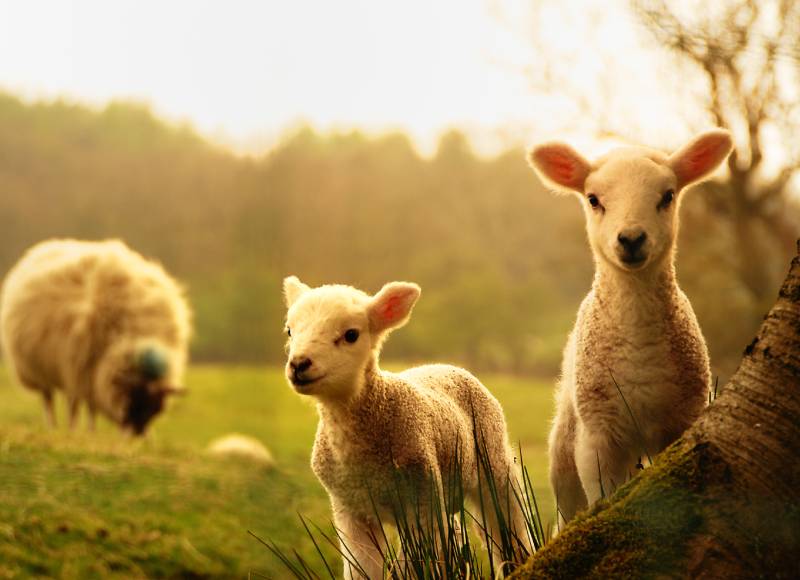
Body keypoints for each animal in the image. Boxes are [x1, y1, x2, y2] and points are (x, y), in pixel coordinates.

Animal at [0, 239, 191, 435]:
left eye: (155, 408)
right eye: (134, 397)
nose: (136, 435)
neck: (136, 334)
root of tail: (44, 247)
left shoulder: (91, 375)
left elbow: (92, 407)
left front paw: (91, 432)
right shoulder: (79, 369)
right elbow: (82, 407)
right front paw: (80, 431)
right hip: (39, 371)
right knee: (49, 400)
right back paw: (54, 427)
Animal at [282, 276, 528, 579]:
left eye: (351, 334)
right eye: (290, 331)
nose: (299, 364)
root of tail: (446, 365)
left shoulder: (420, 501)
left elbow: (416, 565)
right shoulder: (351, 510)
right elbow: (363, 569)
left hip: (493, 463)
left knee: (508, 527)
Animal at [527, 129, 733, 527]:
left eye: (667, 196)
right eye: (593, 199)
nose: (632, 239)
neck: (638, 343)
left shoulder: (680, 421)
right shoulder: (598, 435)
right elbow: (601, 497)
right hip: (565, 444)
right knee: (566, 508)